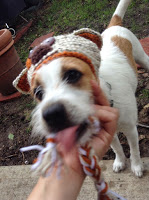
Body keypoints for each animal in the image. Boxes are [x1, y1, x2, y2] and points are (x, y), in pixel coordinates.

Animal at [13, 0, 149, 178]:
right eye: (38, 93)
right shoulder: (109, 132)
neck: (108, 97)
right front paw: (120, 161)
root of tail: (114, 26)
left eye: (72, 74)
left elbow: (134, 150)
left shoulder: (131, 130)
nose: (52, 115)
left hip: (143, 58)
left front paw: (137, 166)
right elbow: (117, 147)